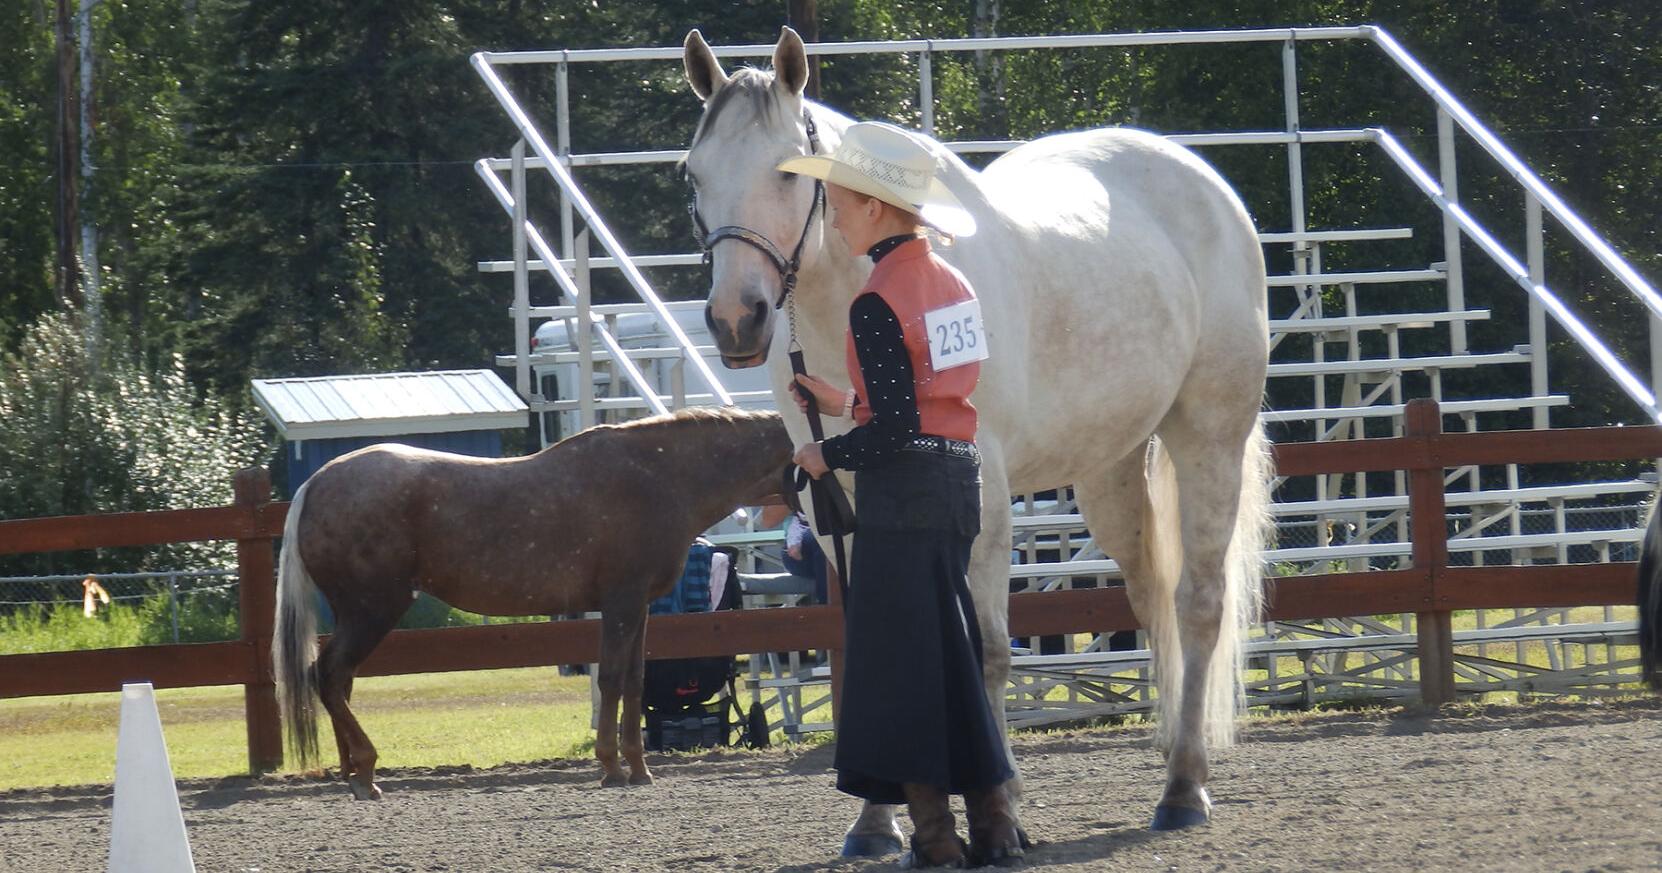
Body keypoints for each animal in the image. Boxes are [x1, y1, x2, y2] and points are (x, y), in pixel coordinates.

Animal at [271, 406, 791, 799]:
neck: (657, 475)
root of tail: (315, 484)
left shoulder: (638, 607)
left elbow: (635, 681)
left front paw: (638, 768)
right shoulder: (621, 602)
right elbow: (612, 678)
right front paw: (613, 767)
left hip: (356, 614)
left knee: (338, 680)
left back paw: (353, 773)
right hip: (372, 610)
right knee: (330, 675)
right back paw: (365, 771)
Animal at [681, 28, 1273, 848]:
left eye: (787, 171)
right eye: (693, 173)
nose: (737, 321)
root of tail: (1207, 185)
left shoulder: (984, 498)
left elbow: (988, 647)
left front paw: (1002, 815)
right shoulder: (845, 499)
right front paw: (877, 821)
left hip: (1208, 435)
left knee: (1200, 601)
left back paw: (1184, 787)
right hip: (1112, 470)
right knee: (1151, 594)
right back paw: (1168, 754)